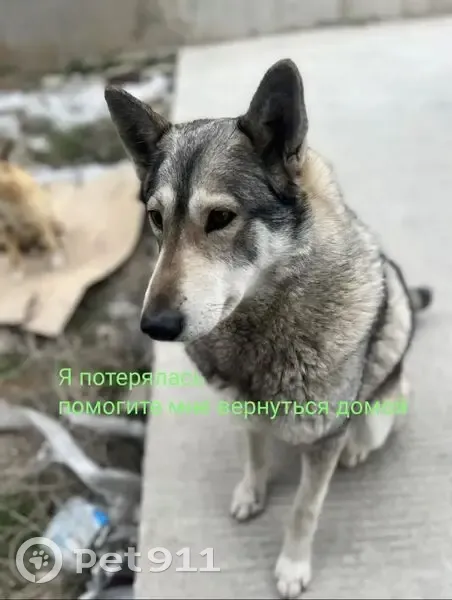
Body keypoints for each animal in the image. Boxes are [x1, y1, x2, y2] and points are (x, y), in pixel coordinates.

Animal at [0, 141, 64, 273]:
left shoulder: (40, 220)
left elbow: (50, 242)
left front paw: (57, 260)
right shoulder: (7, 230)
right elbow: (13, 255)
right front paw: (16, 271)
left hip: (55, 224)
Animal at [105, 59, 433, 599]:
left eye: (220, 217)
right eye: (155, 218)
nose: (154, 325)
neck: (264, 326)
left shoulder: (320, 445)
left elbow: (304, 508)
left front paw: (292, 566)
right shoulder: (245, 412)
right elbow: (254, 456)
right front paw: (250, 492)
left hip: (380, 404)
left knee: (367, 425)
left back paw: (355, 448)